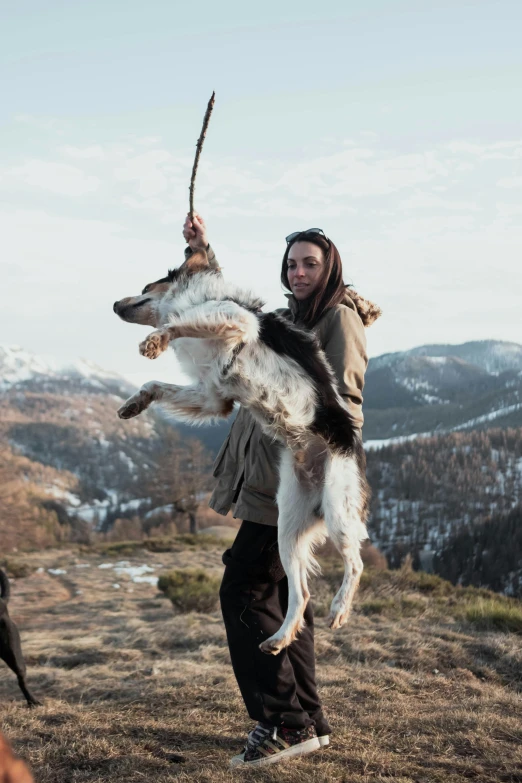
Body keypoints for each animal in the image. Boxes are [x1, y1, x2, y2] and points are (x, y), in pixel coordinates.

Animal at [114, 251, 368, 656]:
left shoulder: (237, 319)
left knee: (356, 562)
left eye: (145, 287)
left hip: (337, 511)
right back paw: (279, 639)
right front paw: (134, 404)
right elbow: (156, 383)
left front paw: (156, 340)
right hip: (287, 526)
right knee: (302, 593)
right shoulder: (212, 396)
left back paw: (340, 608)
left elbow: (181, 322)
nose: (113, 305)